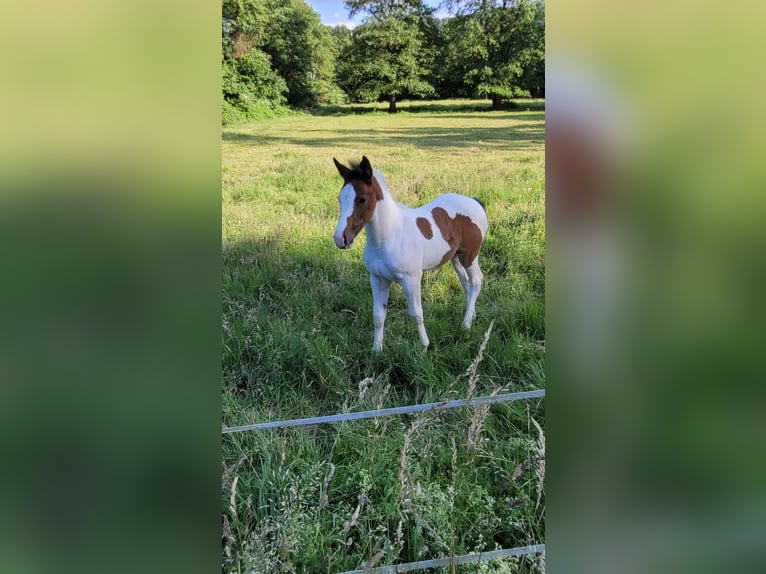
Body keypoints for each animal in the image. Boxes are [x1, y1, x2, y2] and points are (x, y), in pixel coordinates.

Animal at [332, 155, 488, 352]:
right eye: (339, 198)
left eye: (362, 199)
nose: (340, 238)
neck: (389, 237)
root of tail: (476, 202)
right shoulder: (377, 279)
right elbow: (378, 316)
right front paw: (377, 350)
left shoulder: (411, 279)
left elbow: (416, 314)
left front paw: (424, 347)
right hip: (456, 258)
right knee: (466, 283)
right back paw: (471, 316)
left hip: (470, 256)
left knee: (476, 281)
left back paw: (466, 324)